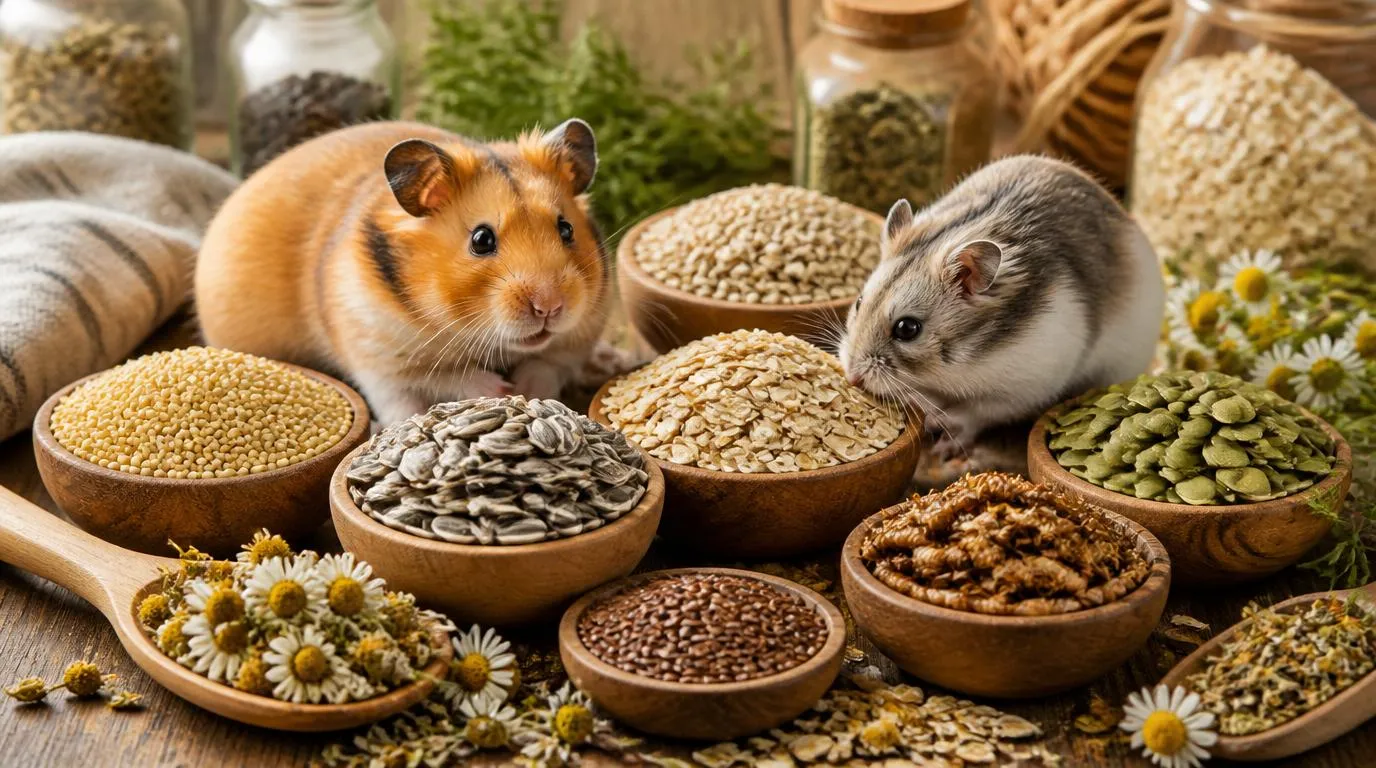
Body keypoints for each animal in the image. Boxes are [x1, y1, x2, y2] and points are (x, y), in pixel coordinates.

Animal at [195, 120, 611, 425]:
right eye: (481, 240)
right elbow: (441, 379)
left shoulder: (576, 341)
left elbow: (546, 364)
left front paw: (524, 390)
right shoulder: (379, 360)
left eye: (566, 229)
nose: (550, 307)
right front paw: (501, 391)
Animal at [838, 155, 1165, 454]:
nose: (852, 378)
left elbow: (978, 410)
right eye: (858, 303)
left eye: (908, 328)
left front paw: (940, 436)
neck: (973, 355)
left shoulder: (1026, 386)